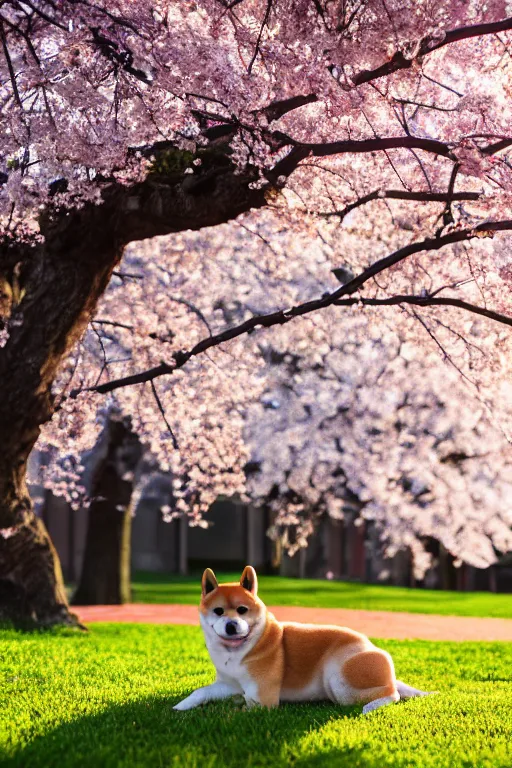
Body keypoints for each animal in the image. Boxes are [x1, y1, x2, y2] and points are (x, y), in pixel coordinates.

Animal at [174, 564, 430, 712]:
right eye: (218, 611)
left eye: (242, 610)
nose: (231, 625)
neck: (238, 652)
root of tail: (370, 644)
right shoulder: (227, 684)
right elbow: (201, 692)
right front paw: (181, 706)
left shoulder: (262, 698)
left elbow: (238, 708)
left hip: (340, 680)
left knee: (392, 693)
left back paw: (372, 706)